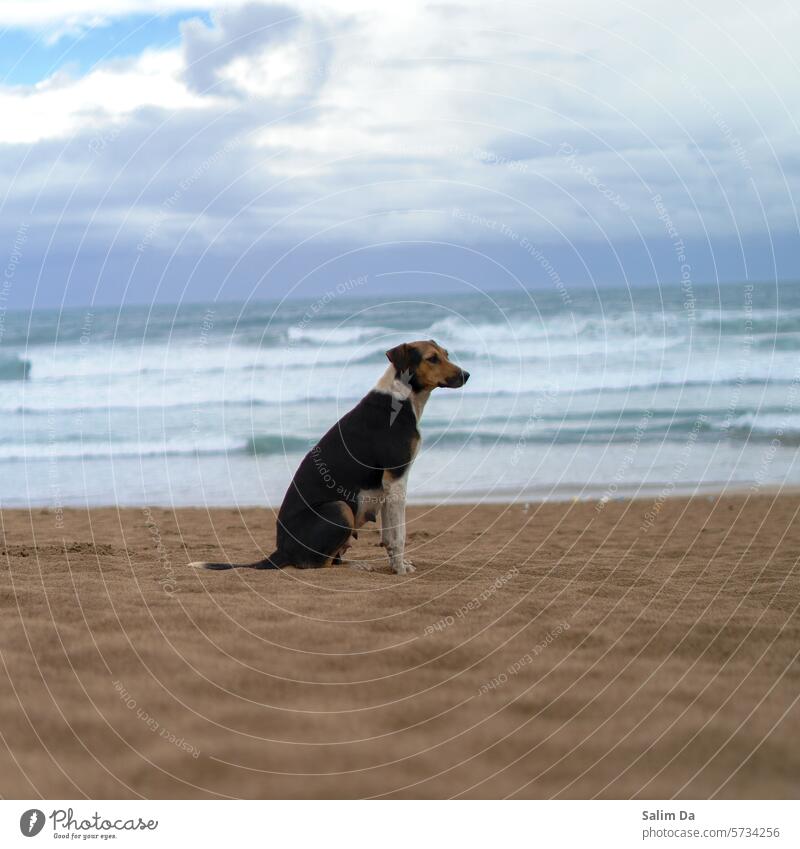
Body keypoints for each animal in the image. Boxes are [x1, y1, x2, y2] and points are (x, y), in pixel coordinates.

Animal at [191, 342, 468, 572]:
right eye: (432, 359)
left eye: (446, 354)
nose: (466, 375)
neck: (401, 397)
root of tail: (281, 550)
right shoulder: (396, 479)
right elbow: (398, 535)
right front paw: (399, 569)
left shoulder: (389, 487)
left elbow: (389, 535)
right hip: (340, 508)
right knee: (317, 565)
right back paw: (357, 567)